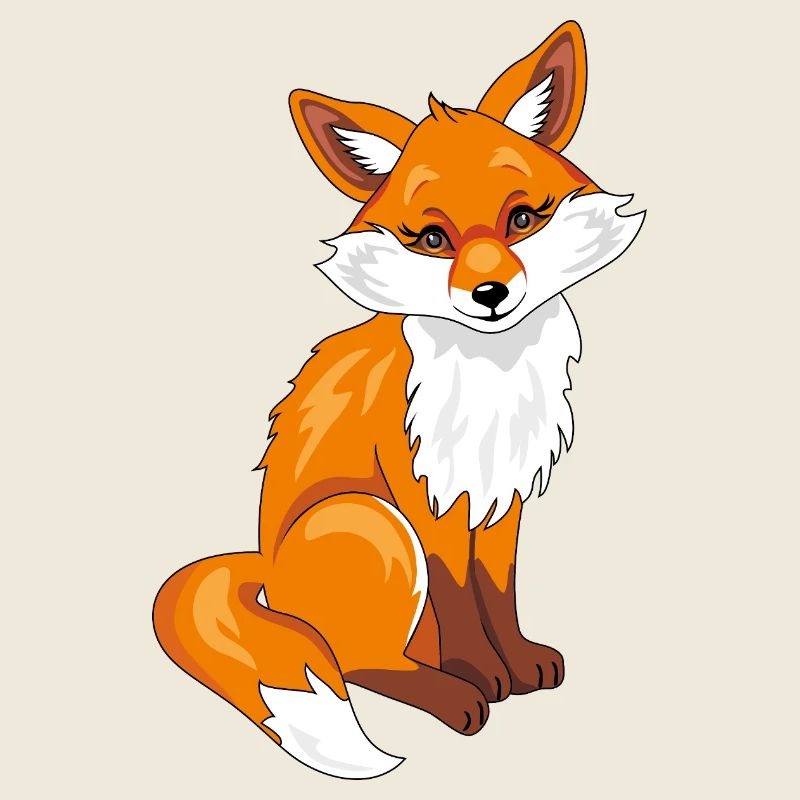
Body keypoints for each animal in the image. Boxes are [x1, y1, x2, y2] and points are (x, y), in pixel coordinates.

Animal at [153, 20, 644, 779]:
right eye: (433, 238)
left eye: (521, 219)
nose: (491, 293)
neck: (491, 377)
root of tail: (265, 570)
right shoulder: (425, 497)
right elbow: (458, 597)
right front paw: (483, 674)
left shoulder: (498, 496)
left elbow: (498, 590)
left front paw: (519, 663)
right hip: (373, 522)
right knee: (354, 663)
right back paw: (448, 693)